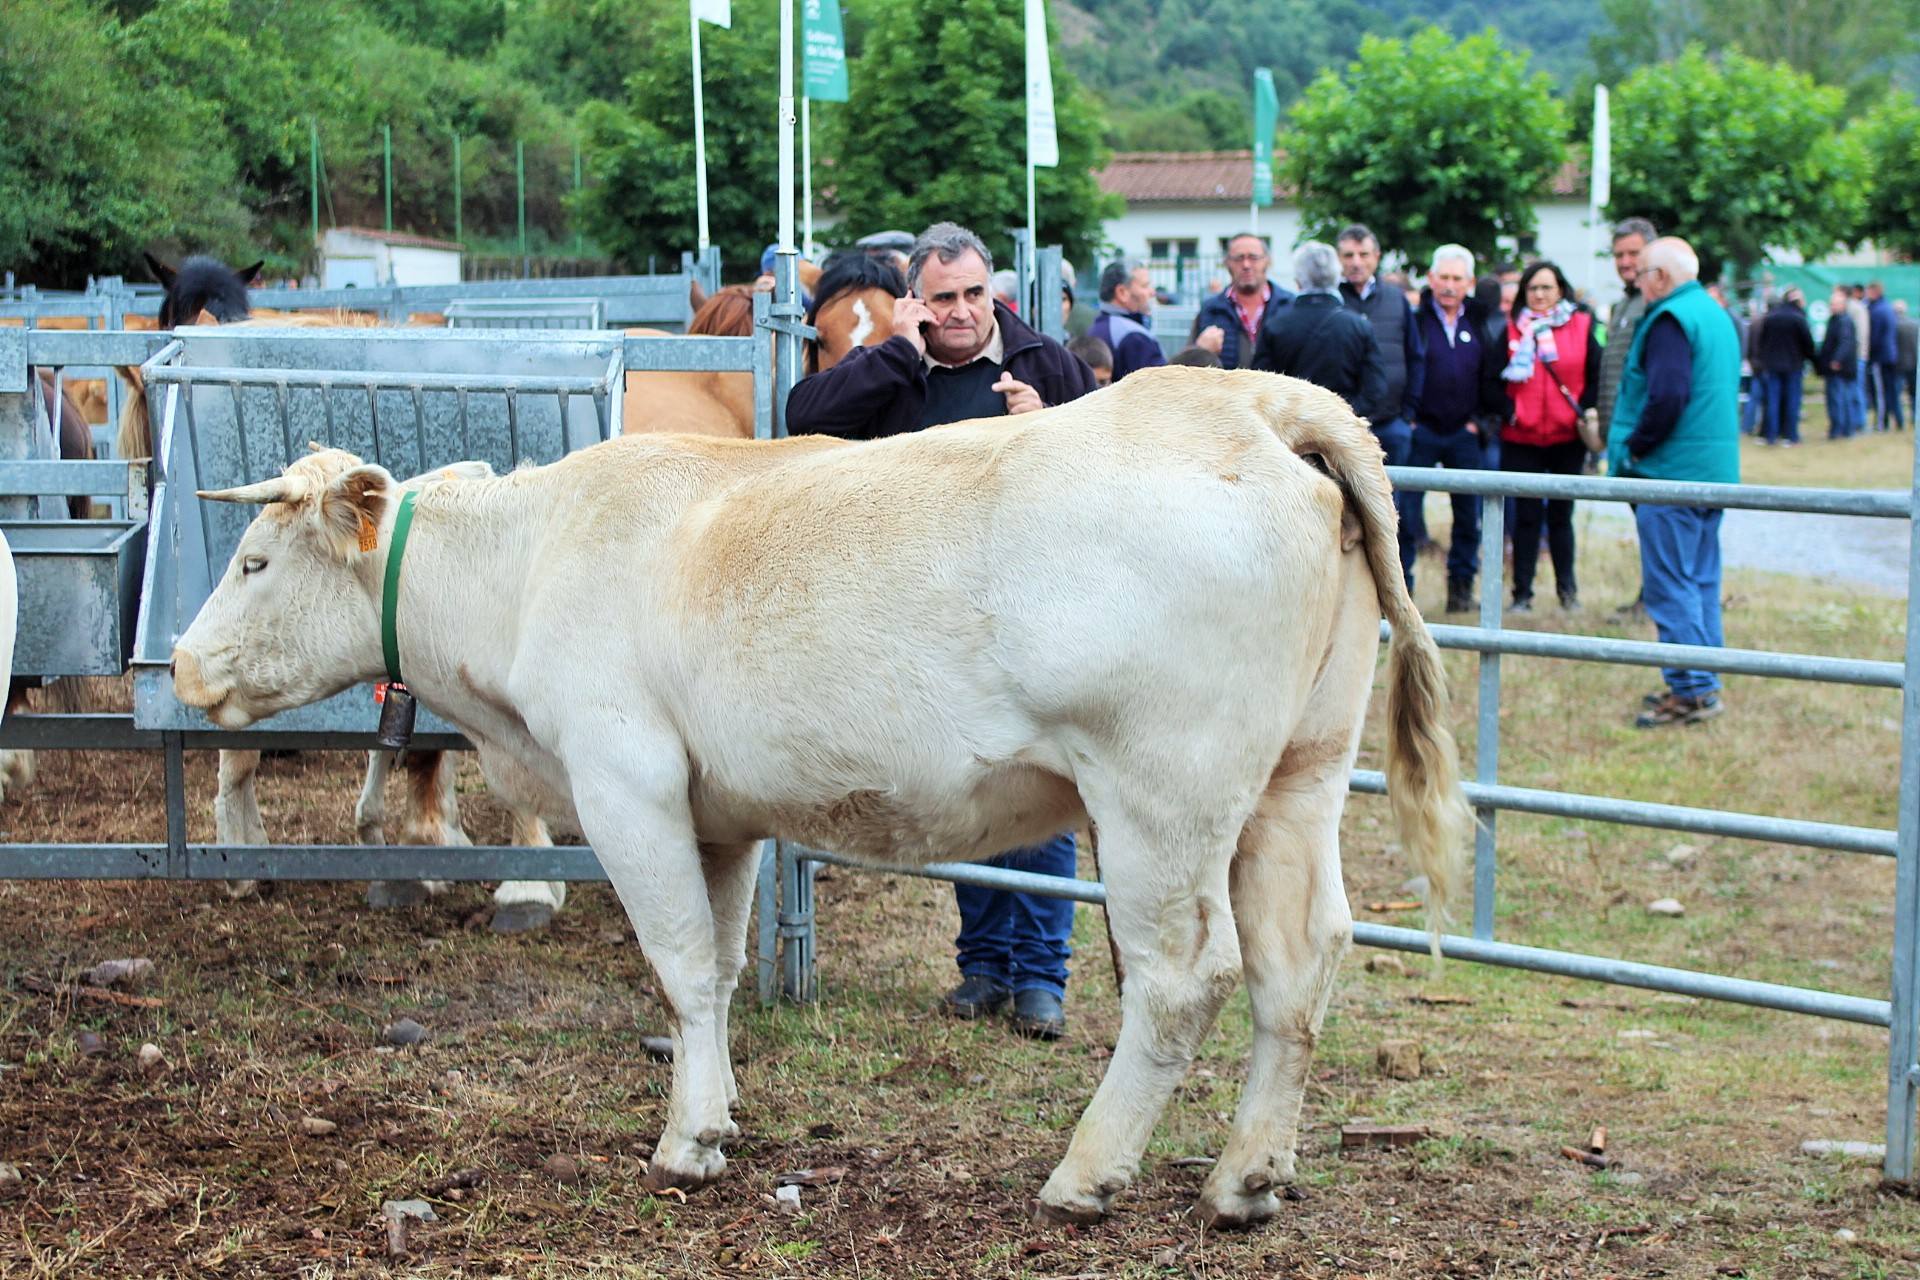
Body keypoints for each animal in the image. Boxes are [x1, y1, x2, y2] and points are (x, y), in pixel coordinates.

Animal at [176, 364, 1466, 1228]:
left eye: (251, 561)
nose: (183, 665)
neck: (529, 562)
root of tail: (1256, 400)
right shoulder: (717, 809)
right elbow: (718, 964)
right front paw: (717, 1114)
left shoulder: (625, 780)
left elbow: (677, 962)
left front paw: (685, 1139)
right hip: (1298, 774)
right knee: (1302, 958)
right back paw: (1246, 1178)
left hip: (1161, 792)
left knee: (1183, 975)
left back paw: (1085, 1173)